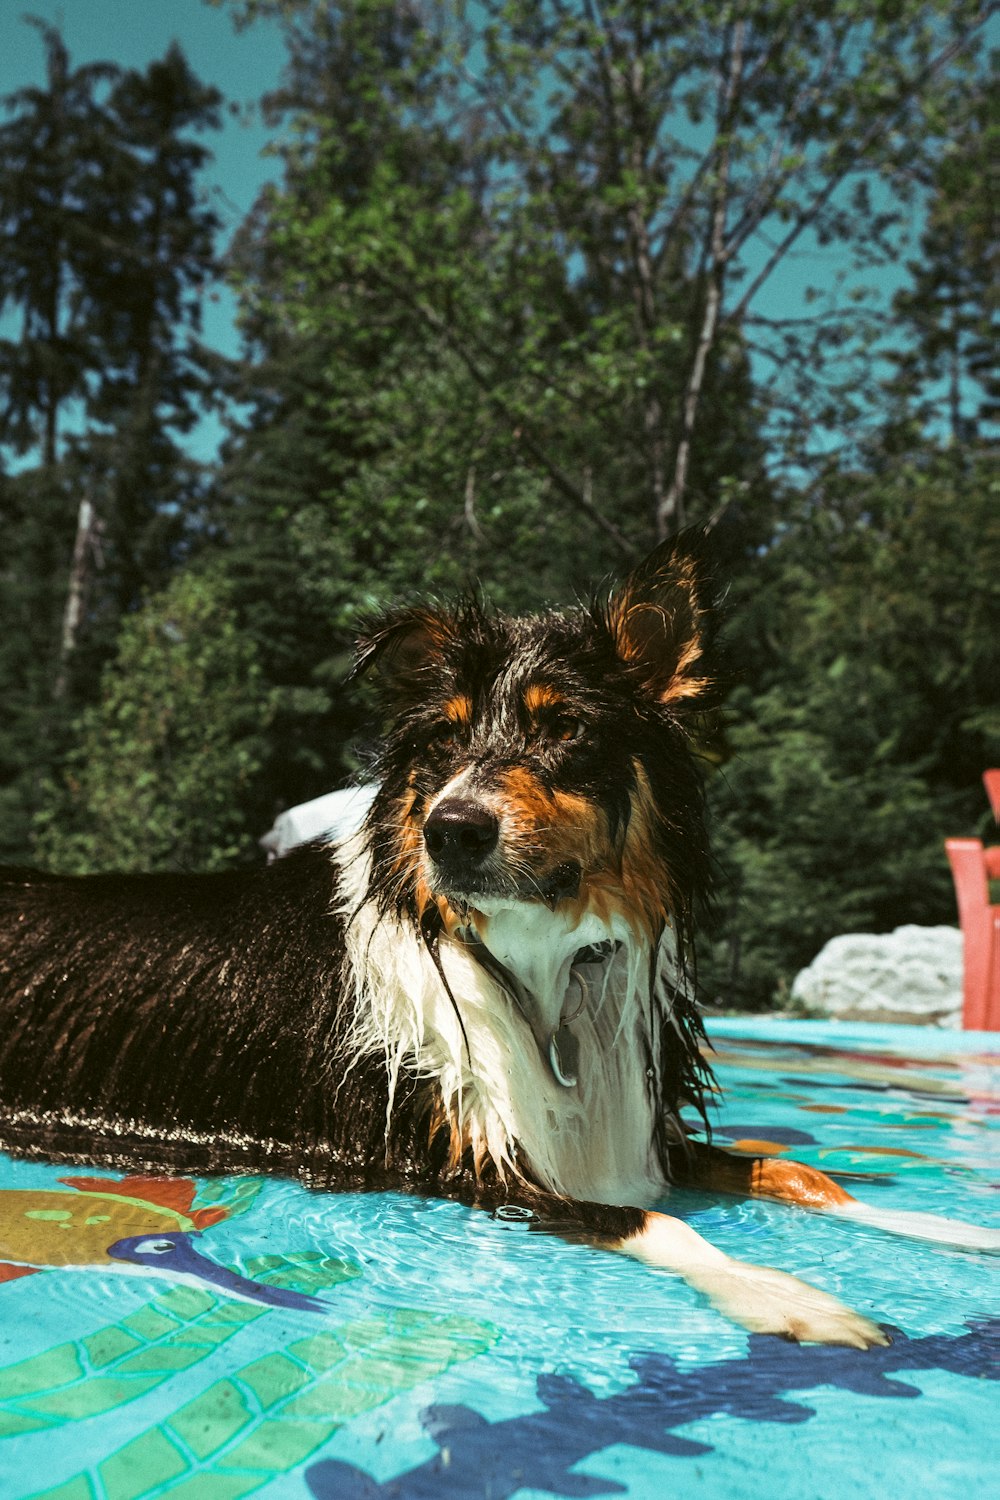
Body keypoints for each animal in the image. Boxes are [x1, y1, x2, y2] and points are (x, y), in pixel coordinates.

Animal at [0, 537, 983, 1350]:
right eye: (443, 737)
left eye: (566, 728)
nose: (452, 831)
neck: (533, 964)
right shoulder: (448, 1162)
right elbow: (656, 1222)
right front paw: (789, 1296)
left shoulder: (636, 1134)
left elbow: (801, 1170)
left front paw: (956, 1230)